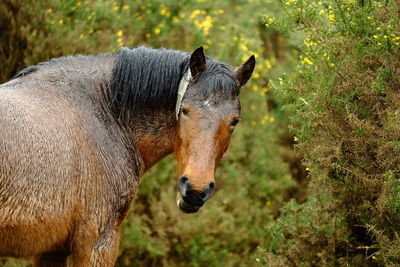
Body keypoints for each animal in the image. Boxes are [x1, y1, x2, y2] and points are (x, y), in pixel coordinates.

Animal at [0, 46, 255, 266]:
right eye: (185, 110)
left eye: (234, 121)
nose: (195, 190)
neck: (106, 111)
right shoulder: (97, 244)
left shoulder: (52, 250)